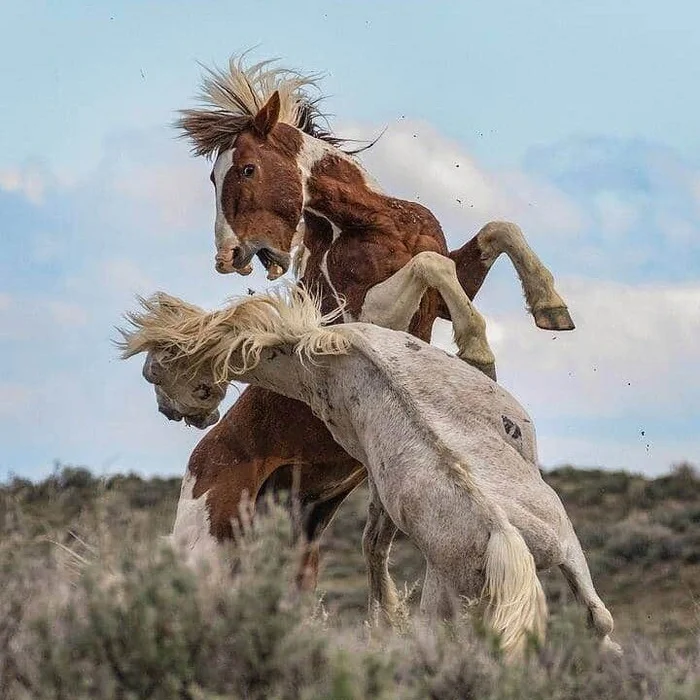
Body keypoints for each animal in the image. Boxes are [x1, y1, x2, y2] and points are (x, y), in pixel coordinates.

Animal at [121, 288, 624, 660]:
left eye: (157, 373)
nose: (176, 414)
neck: (330, 356)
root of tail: (502, 532)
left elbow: (373, 542)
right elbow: (373, 541)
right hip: (553, 552)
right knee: (597, 618)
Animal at [171, 57, 576, 588]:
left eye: (246, 169)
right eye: (214, 179)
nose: (228, 258)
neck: (368, 222)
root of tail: (199, 464)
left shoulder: (440, 293)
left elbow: (496, 232)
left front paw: (551, 307)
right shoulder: (364, 317)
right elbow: (431, 265)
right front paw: (477, 351)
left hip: (302, 540)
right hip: (209, 547)